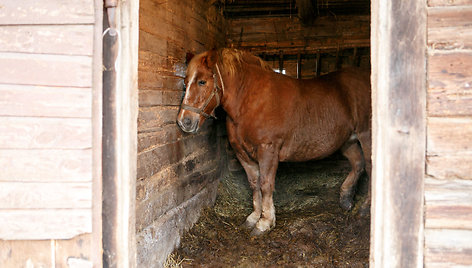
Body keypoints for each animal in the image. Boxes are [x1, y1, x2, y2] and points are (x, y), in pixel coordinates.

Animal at [175, 48, 370, 234]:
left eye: (202, 81)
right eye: (185, 82)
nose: (184, 121)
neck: (250, 101)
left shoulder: (267, 150)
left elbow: (266, 185)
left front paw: (265, 223)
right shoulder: (242, 153)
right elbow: (254, 184)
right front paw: (254, 217)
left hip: (365, 135)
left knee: (369, 167)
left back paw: (364, 208)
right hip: (348, 141)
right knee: (358, 164)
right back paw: (346, 200)